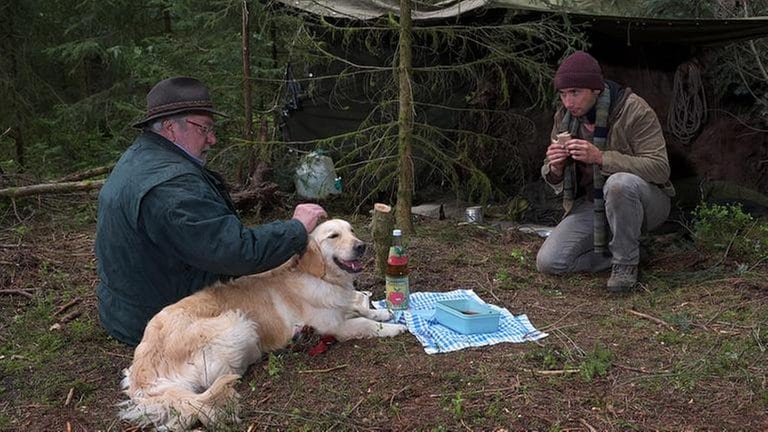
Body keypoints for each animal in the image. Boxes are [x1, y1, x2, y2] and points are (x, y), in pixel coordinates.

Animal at [118, 219, 408, 428]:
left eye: (351, 230)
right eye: (333, 236)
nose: (362, 246)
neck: (320, 277)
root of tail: (144, 377)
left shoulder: (340, 307)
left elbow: (360, 308)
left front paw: (383, 313)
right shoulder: (333, 326)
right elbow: (363, 323)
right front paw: (393, 327)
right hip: (237, 323)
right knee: (225, 373)